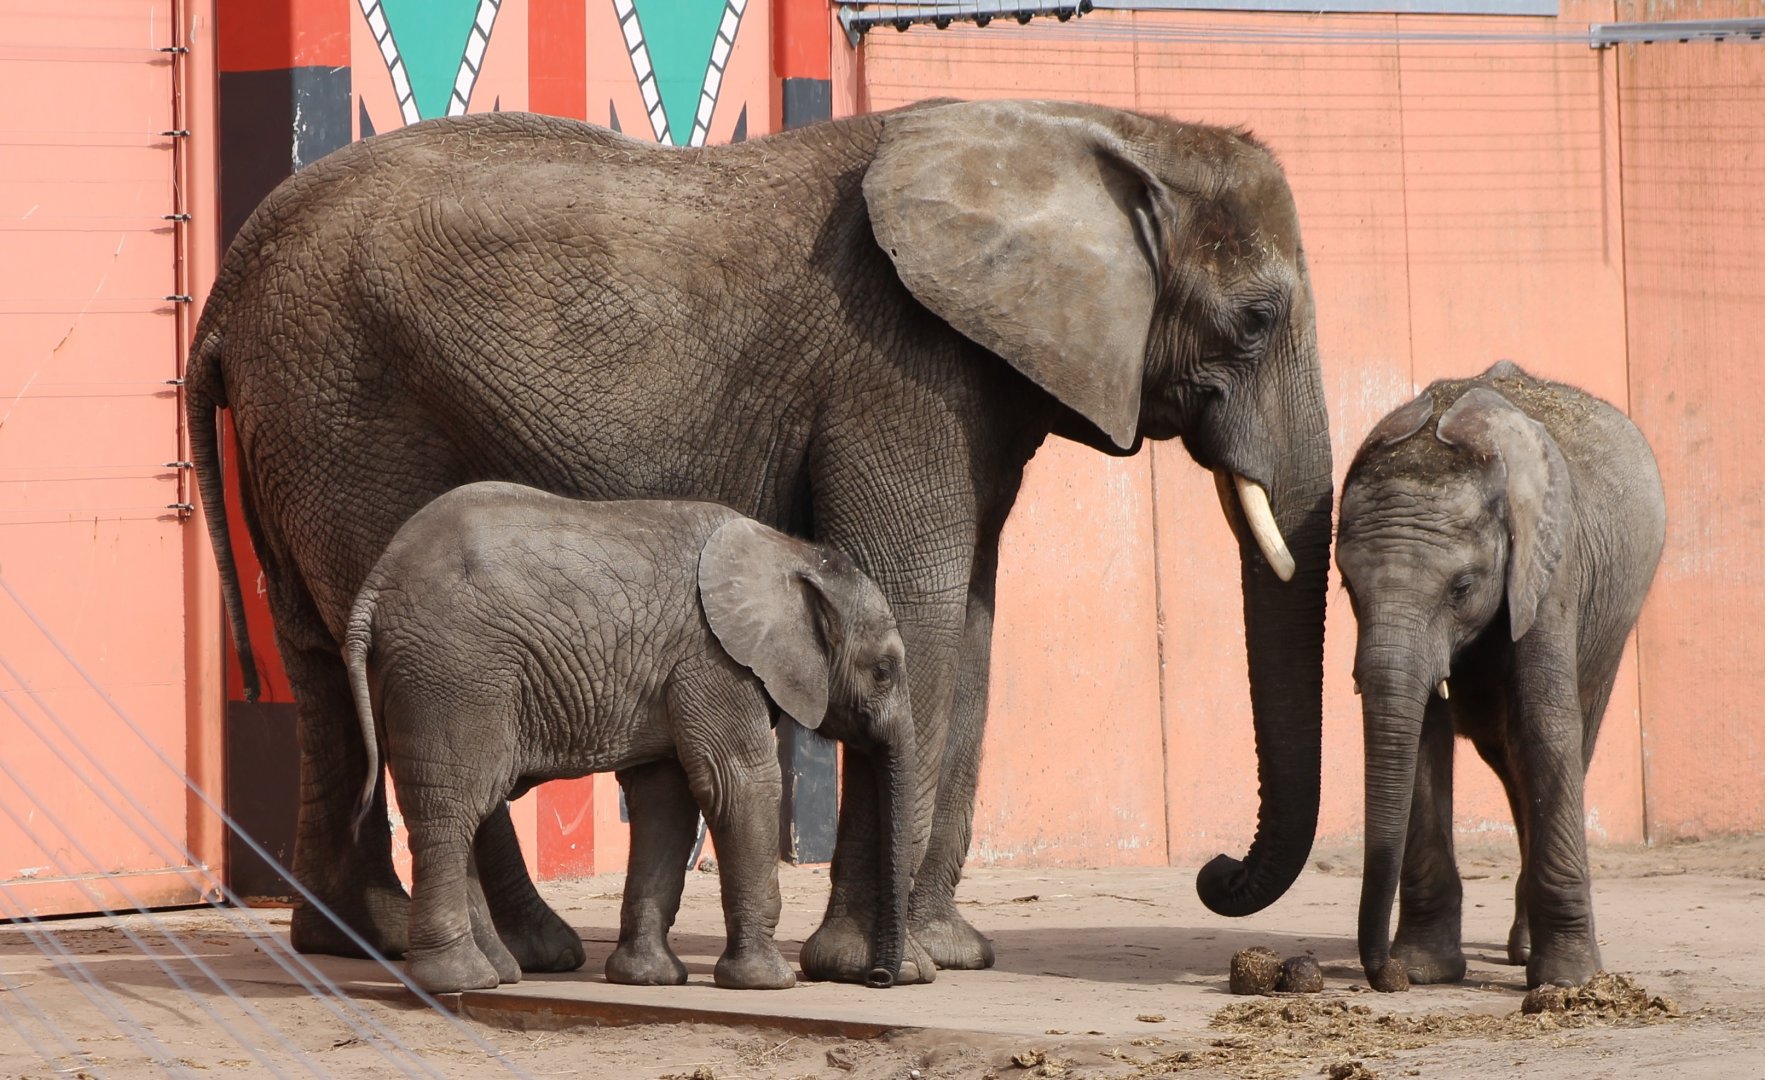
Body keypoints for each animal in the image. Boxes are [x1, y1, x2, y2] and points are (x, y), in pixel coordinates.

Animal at [343, 483, 920, 993]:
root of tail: (373, 589)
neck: (789, 554)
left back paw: (497, 974)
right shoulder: (712, 661)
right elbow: (740, 784)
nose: (879, 978)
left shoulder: (675, 672)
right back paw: (461, 981)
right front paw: (768, 984)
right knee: (454, 807)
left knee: (472, 804)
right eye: (884, 671)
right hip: (455, 671)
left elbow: (666, 800)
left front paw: (648, 979)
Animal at [1335, 360, 1665, 992]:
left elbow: (1546, 726)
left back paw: (1530, 952)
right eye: (1347, 586)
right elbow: (1423, 734)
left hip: (1615, 620)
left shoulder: (1550, 567)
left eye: (1462, 587)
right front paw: (1427, 970)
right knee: (1507, 758)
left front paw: (1568, 982)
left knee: (1561, 742)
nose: (1387, 975)